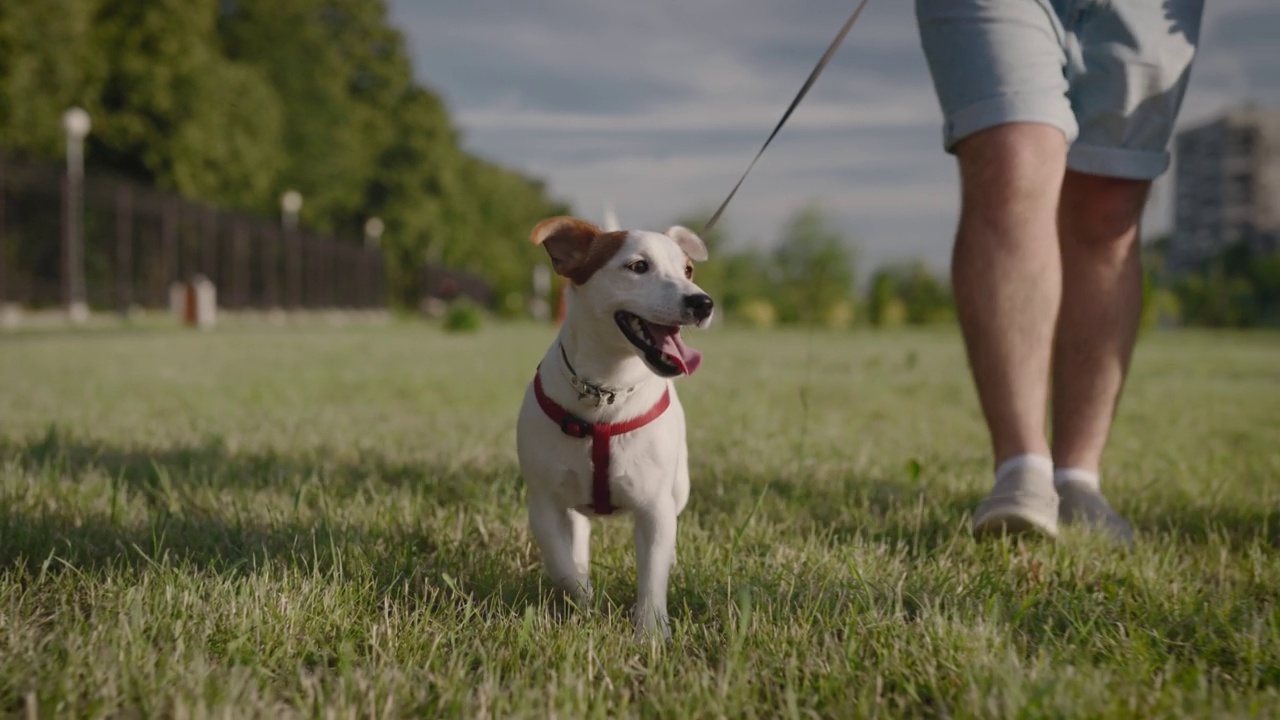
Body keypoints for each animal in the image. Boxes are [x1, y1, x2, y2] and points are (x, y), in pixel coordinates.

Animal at [514, 213, 716, 638]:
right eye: (638, 266)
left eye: (688, 270)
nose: (703, 302)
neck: (605, 392)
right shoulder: (543, 502)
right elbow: (561, 564)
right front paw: (584, 603)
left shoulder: (655, 507)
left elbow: (653, 572)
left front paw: (651, 632)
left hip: (680, 486)